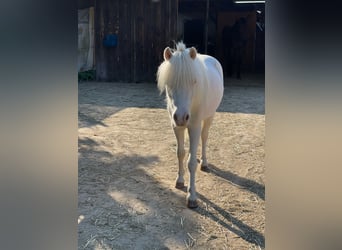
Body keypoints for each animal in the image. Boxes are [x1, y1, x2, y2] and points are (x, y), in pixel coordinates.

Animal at [156, 42, 223, 208]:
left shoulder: (194, 126)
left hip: (209, 116)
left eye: (193, 81)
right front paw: (180, 181)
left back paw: (204, 163)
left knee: (204, 138)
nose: (181, 117)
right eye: (169, 83)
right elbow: (180, 153)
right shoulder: (176, 126)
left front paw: (192, 197)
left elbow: (191, 163)